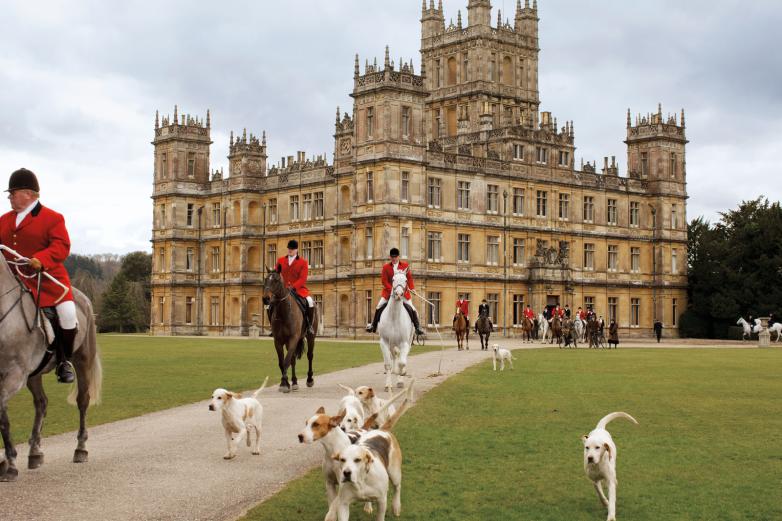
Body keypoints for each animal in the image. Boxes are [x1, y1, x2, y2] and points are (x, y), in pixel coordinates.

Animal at [0, 253, 102, 482]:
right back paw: (35, 452)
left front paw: (9, 463)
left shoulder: (15, 375)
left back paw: (80, 449)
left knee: (82, 401)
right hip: (35, 373)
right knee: (42, 403)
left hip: (82, 360)